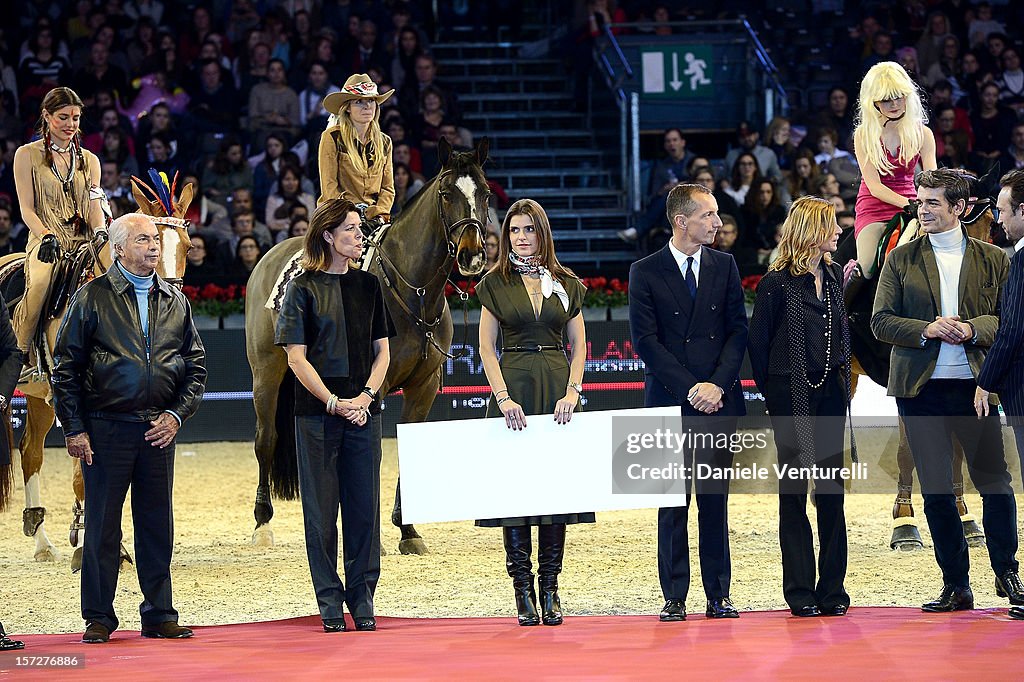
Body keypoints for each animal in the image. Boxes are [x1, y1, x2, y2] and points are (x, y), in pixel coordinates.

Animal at [245, 137, 489, 552]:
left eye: (485, 193)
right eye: (445, 194)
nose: (472, 255)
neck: (414, 291)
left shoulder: (423, 386)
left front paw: (409, 531)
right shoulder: (375, 386)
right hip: (266, 372)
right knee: (266, 440)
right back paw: (263, 524)